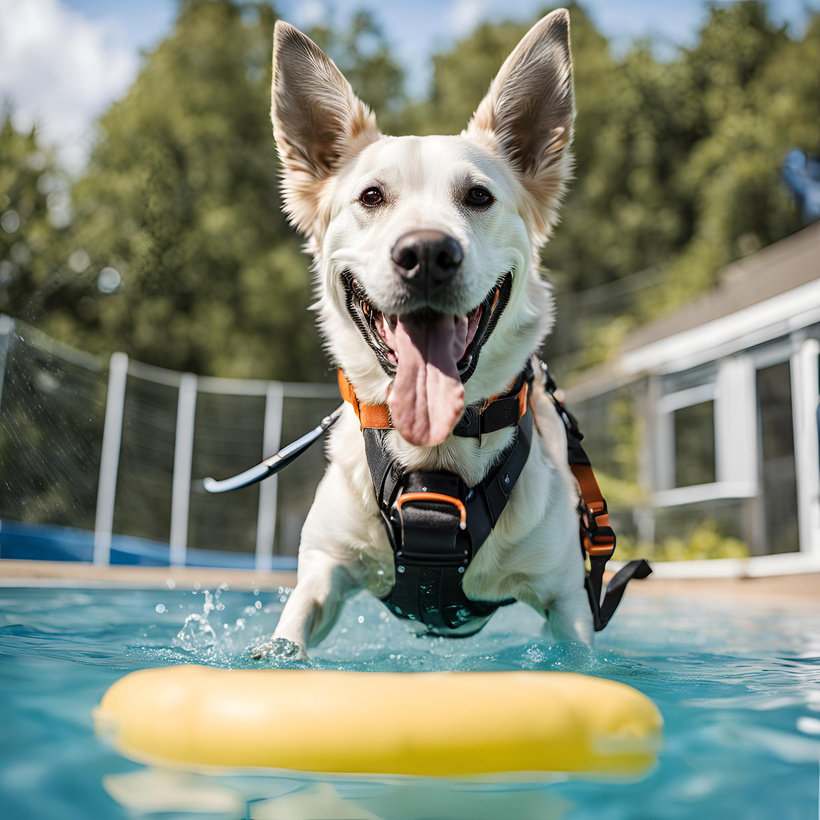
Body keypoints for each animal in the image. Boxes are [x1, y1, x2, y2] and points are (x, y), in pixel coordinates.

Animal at [253, 6, 592, 660]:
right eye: (371, 196)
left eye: (479, 196)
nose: (428, 253)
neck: (433, 454)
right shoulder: (325, 565)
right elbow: (296, 622)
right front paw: (275, 654)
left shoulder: (567, 599)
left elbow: (578, 649)